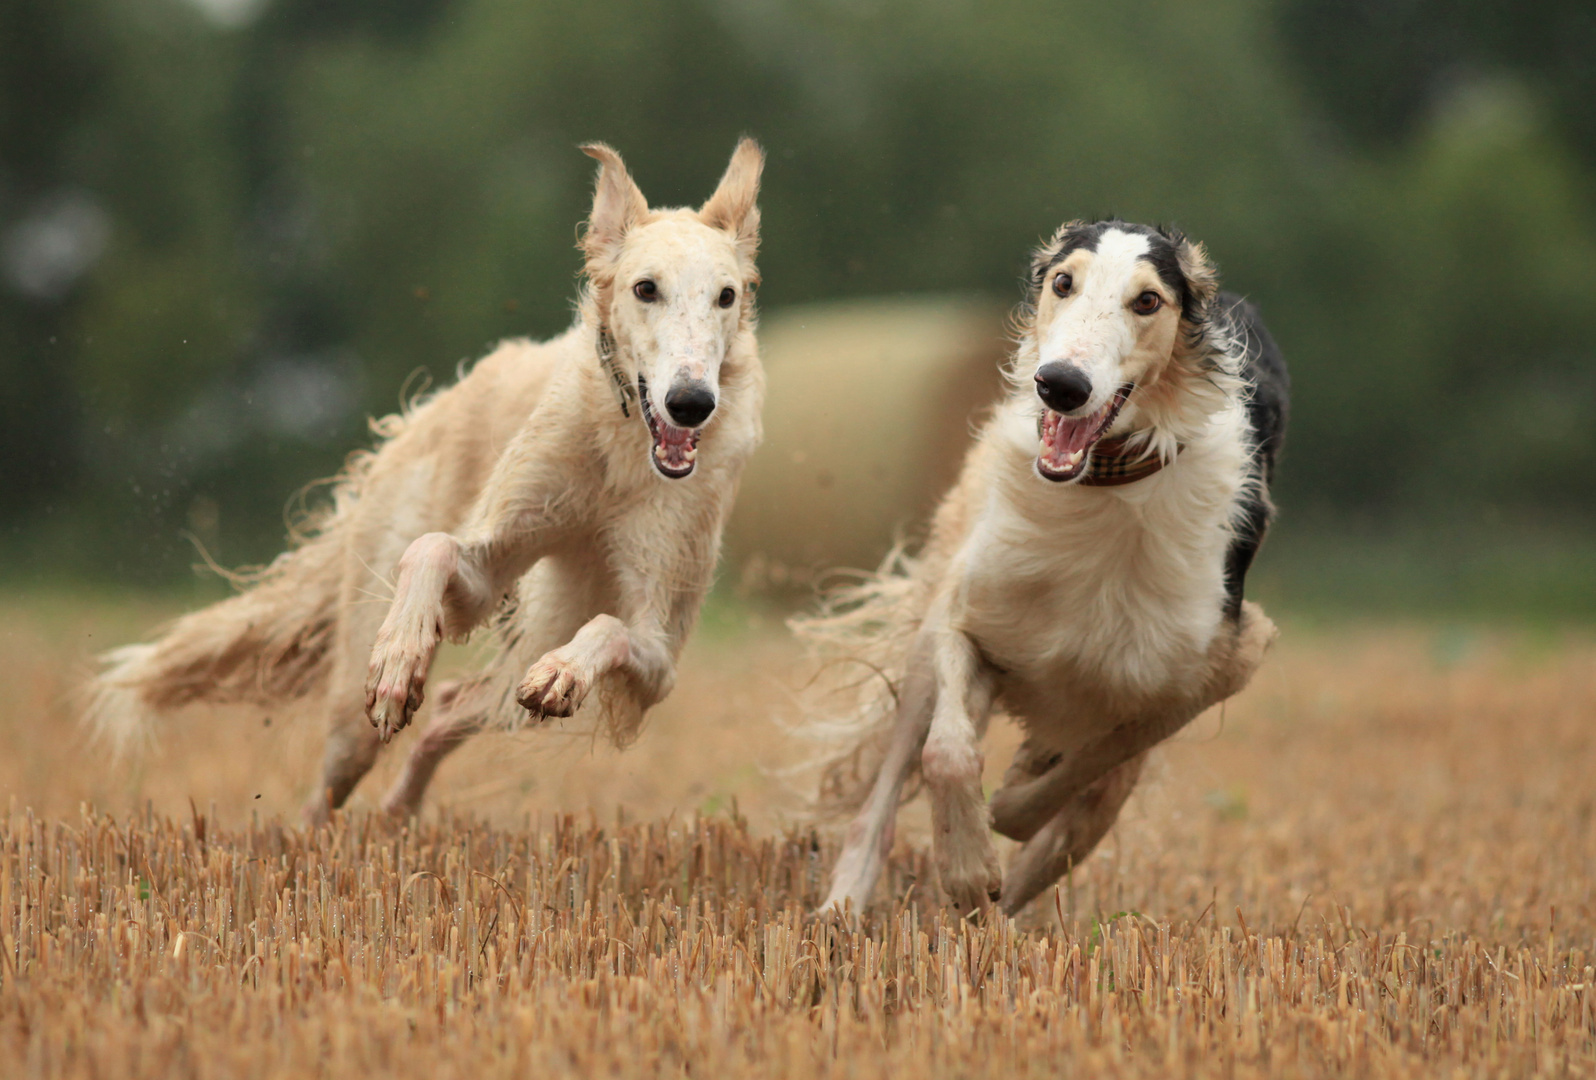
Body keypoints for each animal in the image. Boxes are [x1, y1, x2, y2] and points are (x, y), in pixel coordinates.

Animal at [90, 141, 769, 816]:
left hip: (539, 637)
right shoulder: (490, 565)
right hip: (357, 707)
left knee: (458, 706)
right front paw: (399, 659)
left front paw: (565, 673)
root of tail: (432, 407)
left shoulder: (658, 654)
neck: (620, 452)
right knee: (330, 788)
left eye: (726, 295)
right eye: (645, 288)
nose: (691, 403)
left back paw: (402, 808)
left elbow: (612, 630)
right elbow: (434, 548)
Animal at [804, 221, 1289, 918]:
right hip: (931, 650)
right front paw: (968, 865)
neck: (1103, 486)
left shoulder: (1222, 662)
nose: (1060, 383)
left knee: (1056, 844)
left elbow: (1098, 754)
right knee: (887, 793)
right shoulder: (965, 620)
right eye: (1063, 282)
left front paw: (1008, 808)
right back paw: (842, 910)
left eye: (1148, 300)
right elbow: (947, 753)